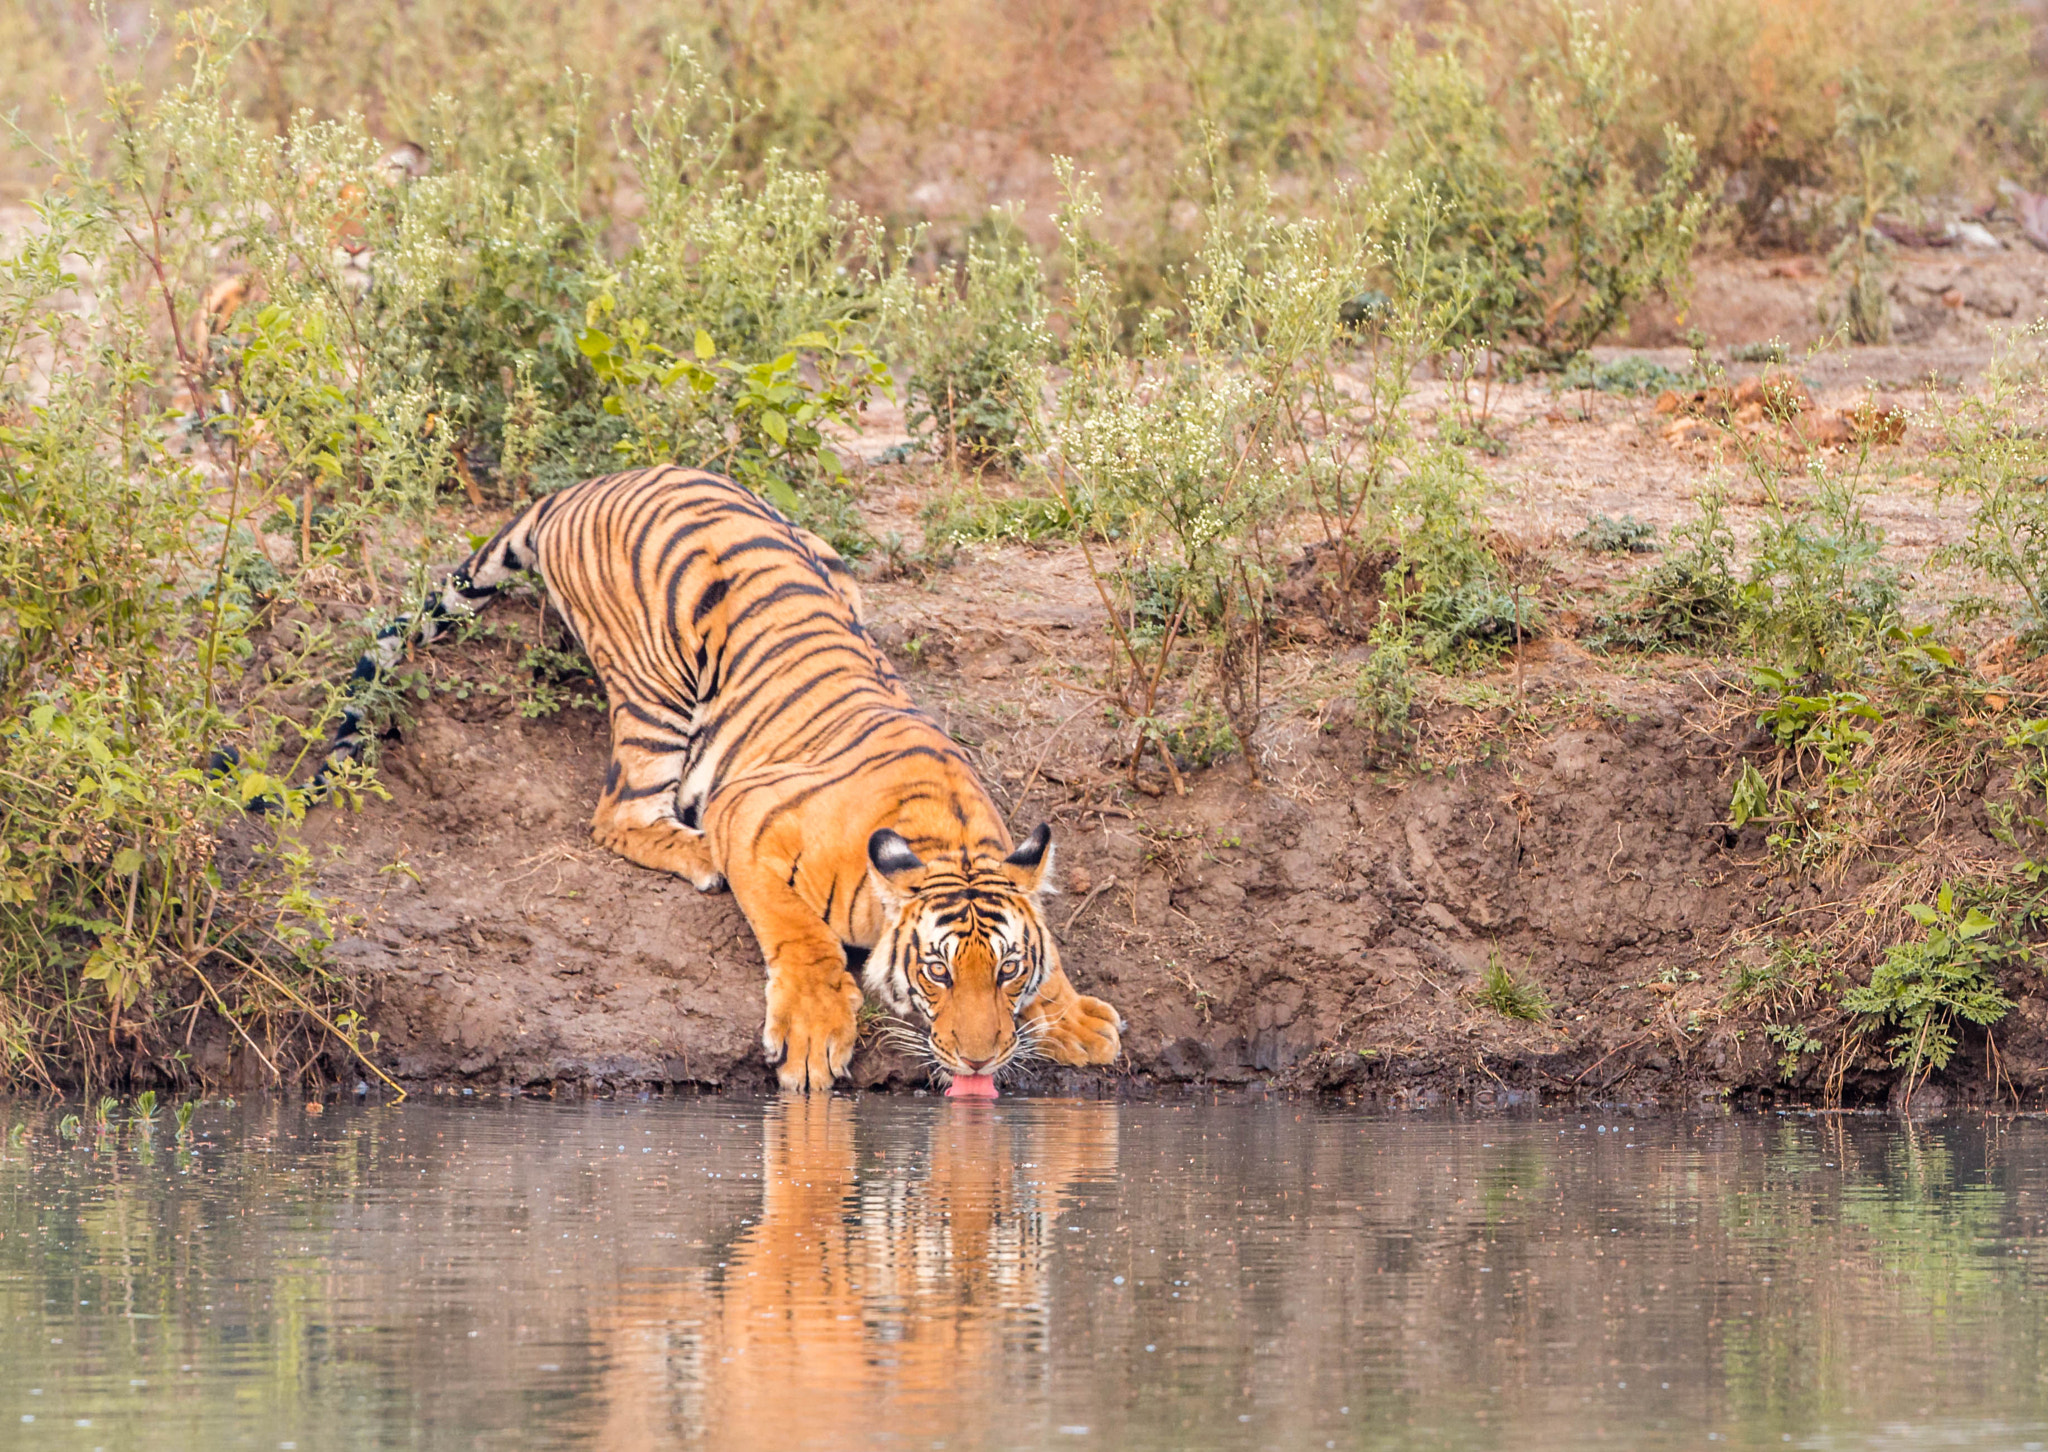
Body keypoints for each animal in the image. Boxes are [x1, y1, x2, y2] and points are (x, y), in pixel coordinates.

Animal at [317, 464, 1122, 1089]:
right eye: (939, 973)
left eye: (1007, 971)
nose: (982, 1062)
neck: (943, 831)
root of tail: (582, 485)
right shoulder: (750, 816)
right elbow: (798, 931)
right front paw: (812, 1035)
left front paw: (1076, 1018)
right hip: (654, 684)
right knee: (620, 812)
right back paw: (697, 853)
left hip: (832, 566)